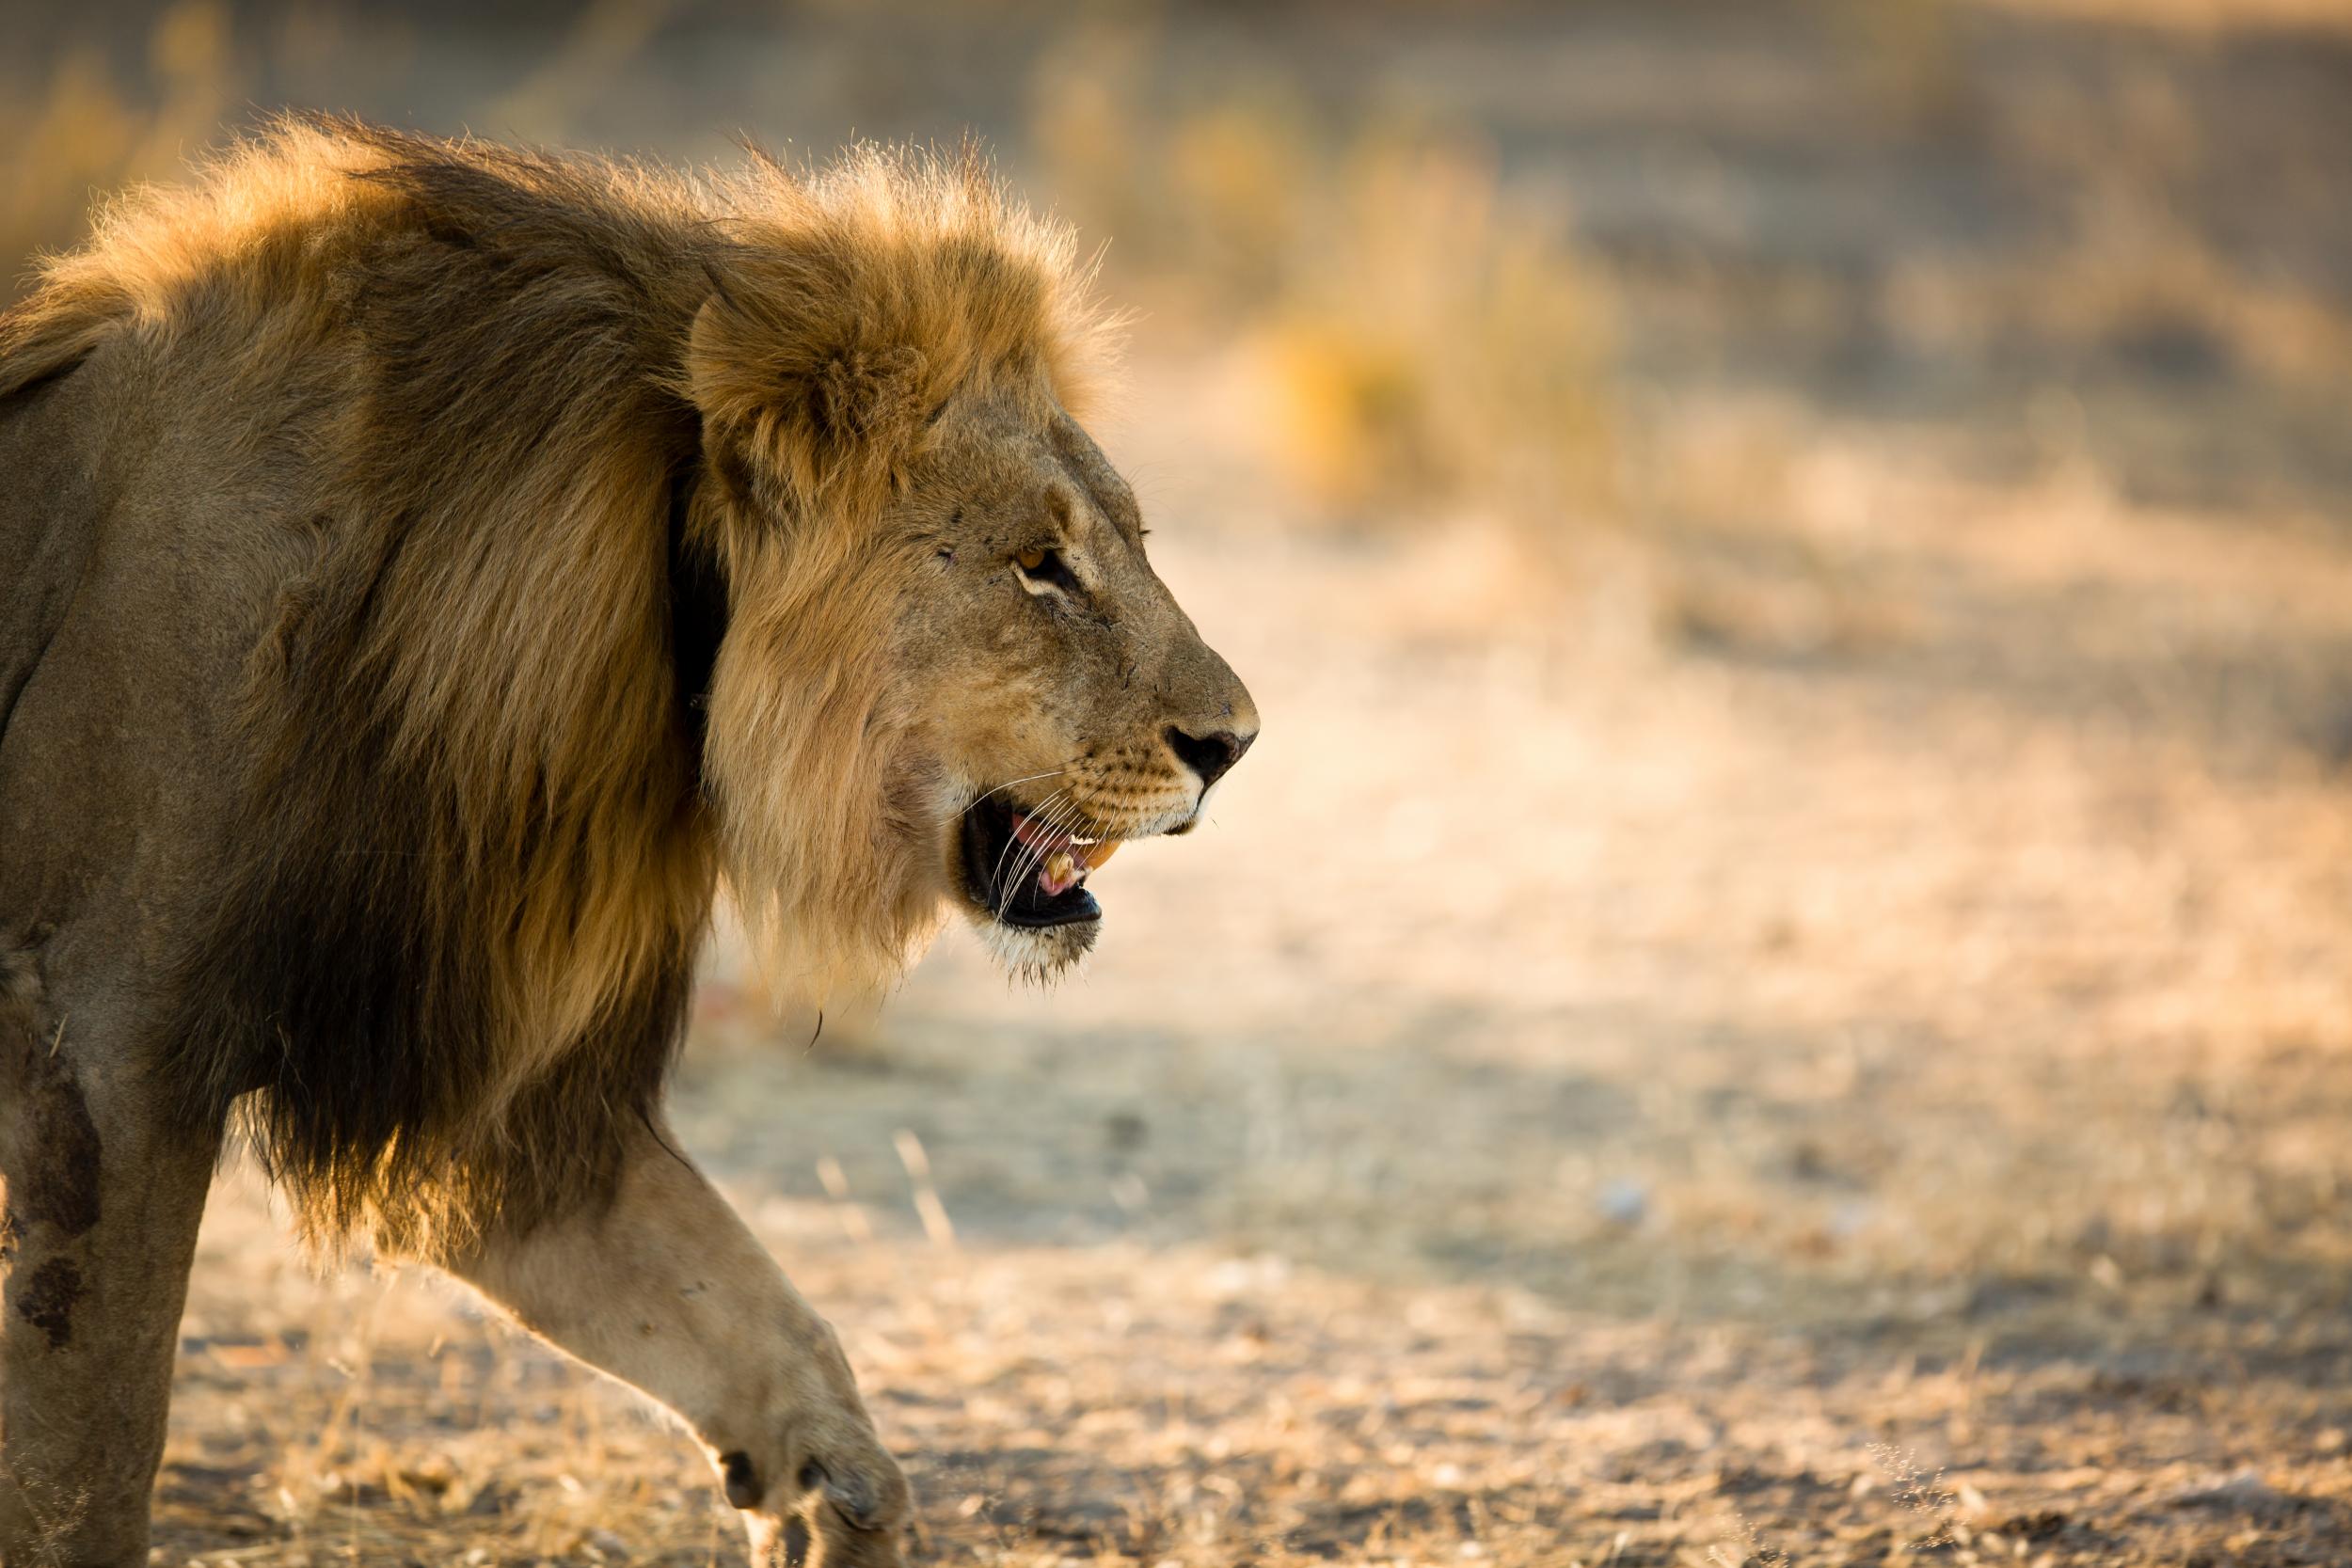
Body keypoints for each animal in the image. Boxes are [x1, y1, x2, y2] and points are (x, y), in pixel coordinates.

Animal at [0, 119, 1261, 1568]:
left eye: (1131, 541)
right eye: (1040, 565)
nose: (1236, 742)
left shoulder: (498, 1094)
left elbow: (765, 1326)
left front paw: (834, 1504)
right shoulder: (103, 1042)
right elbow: (88, 1456)